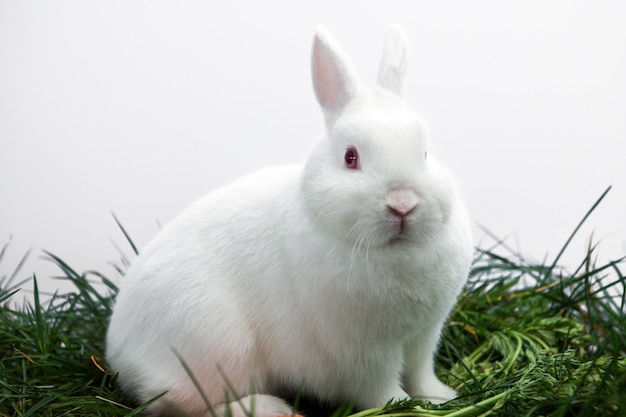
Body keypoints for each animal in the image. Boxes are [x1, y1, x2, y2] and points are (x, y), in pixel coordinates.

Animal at [105, 23, 470, 416]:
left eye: (425, 153)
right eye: (351, 158)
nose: (403, 204)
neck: (396, 250)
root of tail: (119, 352)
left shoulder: (422, 337)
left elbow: (420, 372)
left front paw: (440, 397)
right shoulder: (363, 353)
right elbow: (379, 387)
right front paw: (401, 405)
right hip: (213, 346)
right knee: (184, 404)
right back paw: (271, 407)